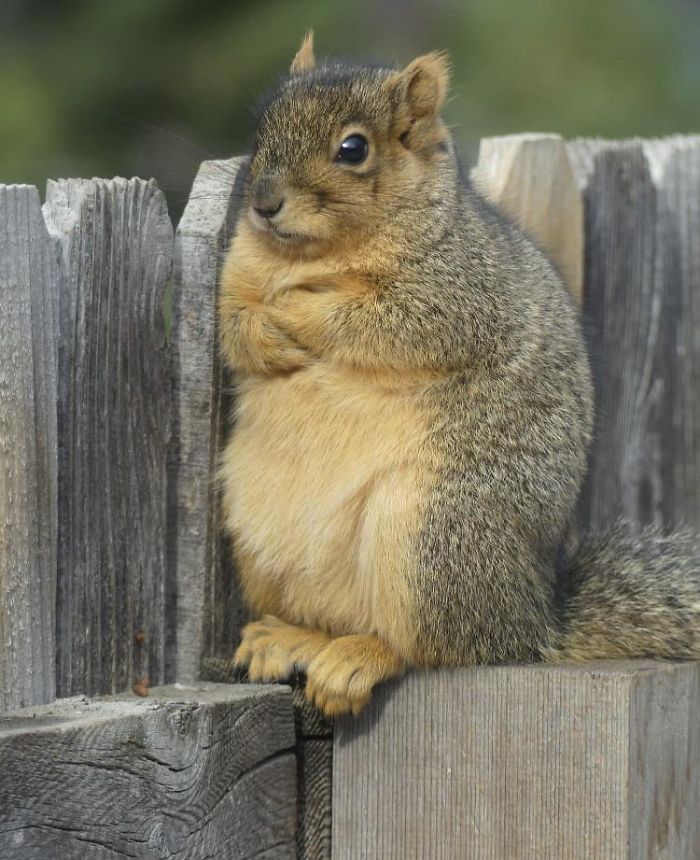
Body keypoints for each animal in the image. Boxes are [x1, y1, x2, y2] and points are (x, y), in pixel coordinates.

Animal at [216, 31, 696, 720]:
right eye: (261, 126)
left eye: (353, 149)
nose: (263, 203)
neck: (311, 255)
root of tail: (531, 621)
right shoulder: (235, 273)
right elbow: (232, 325)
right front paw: (265, 334)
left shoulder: (459, 289)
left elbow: (383, 321)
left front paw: (297, 311)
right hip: (258, 535)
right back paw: (292, 637)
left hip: (430, 537)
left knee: (432, 647)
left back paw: (360, 658)